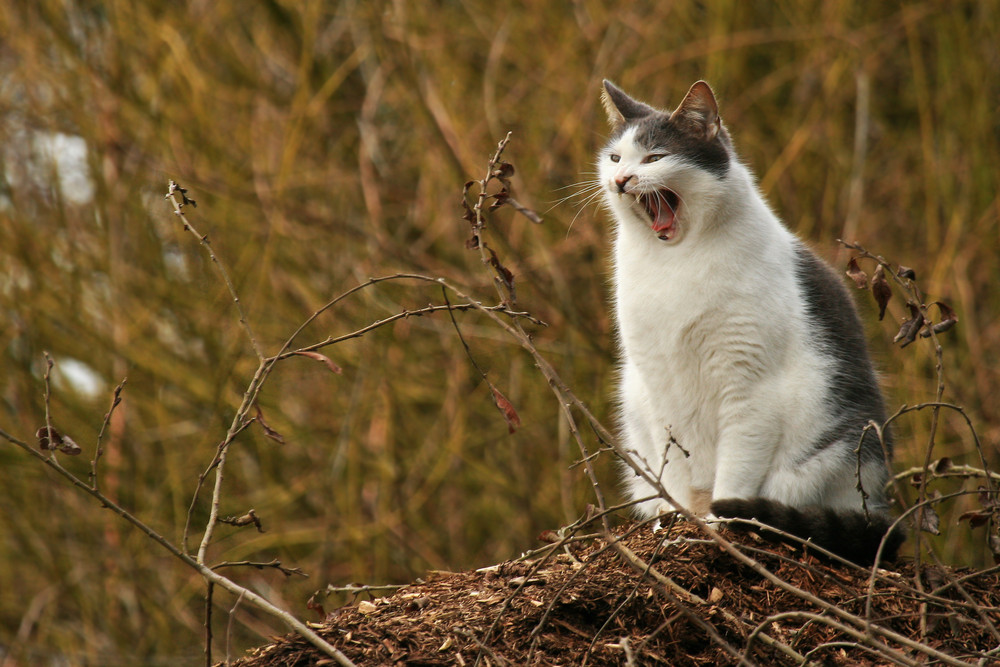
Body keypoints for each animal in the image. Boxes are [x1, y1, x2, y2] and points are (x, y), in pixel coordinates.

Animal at [596, 81, 904, 568]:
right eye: (613, 158)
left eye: (654, 157)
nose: (621, 180)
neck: (674, 262)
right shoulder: (657, 382)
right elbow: (674, 466)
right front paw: (681, 518)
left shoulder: (748, 386)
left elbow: (736, 468)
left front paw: (718, 523)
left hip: (842, 444)